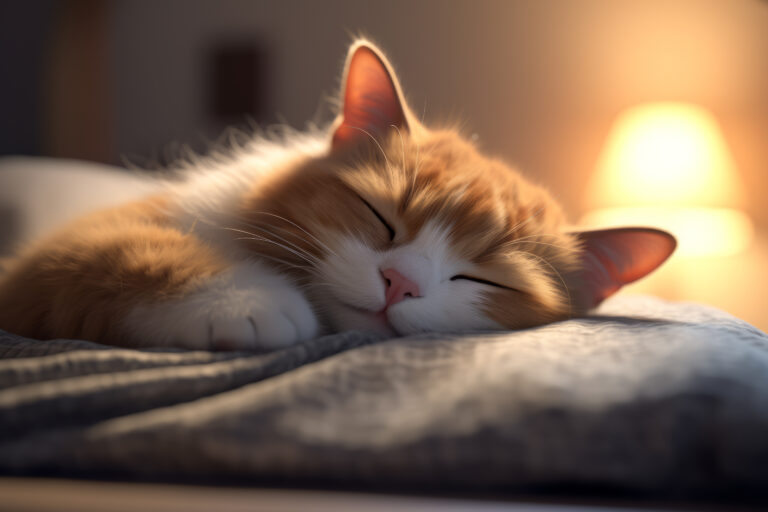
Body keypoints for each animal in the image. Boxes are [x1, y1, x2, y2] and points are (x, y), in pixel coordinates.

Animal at [0, 42, 672, 350]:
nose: (399, 284)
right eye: (380, 218)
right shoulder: (54, 255)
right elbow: (138, 252)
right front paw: (246, 300)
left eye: (483, 280)